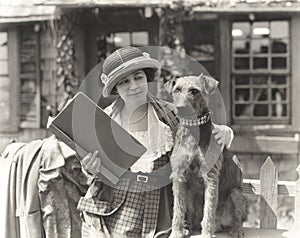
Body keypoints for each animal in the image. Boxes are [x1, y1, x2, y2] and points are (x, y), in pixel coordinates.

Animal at [166, 75, 248, 238]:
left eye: (194, 90)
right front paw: (176, 232)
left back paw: (236, 230)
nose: (180, 108)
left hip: (236, 194)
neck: (193, 131)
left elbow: (209, 209)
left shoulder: (211, 175)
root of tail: (220, 225)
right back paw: (187, 227)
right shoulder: (179, 176)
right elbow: (178, 208)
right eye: (177, 89)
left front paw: (206, 234)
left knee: (236, 218)